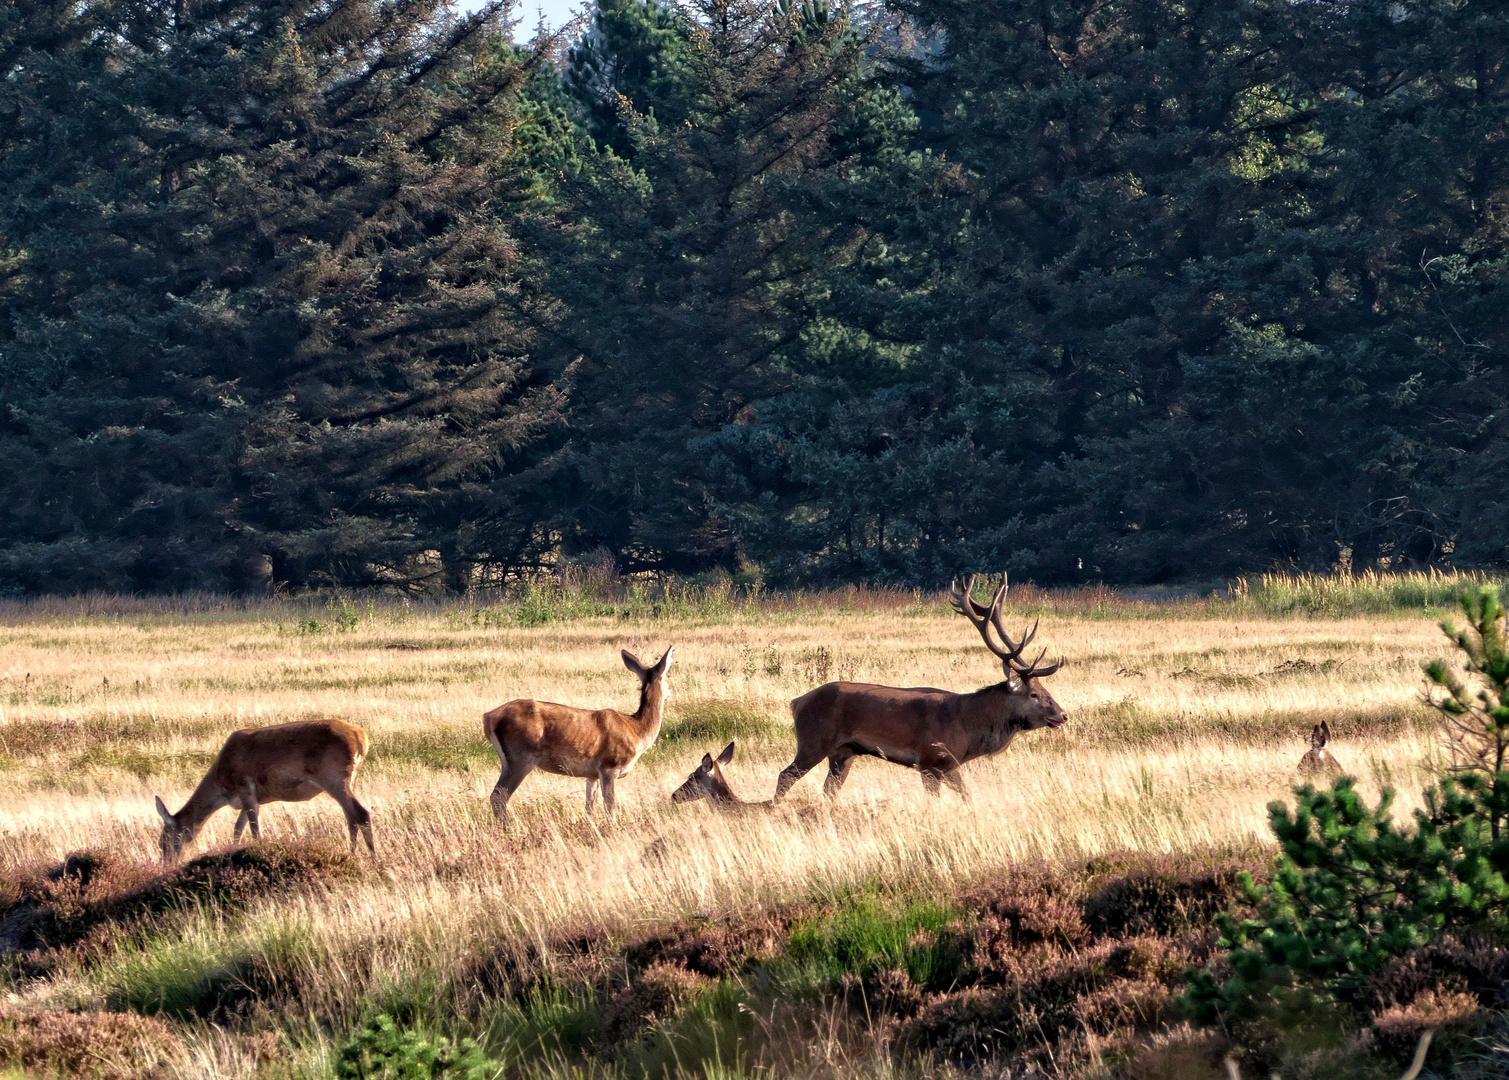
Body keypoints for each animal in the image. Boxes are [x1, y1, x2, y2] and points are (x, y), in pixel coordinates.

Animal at [152, 721, 374, 862]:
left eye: (165, 840)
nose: (167, 863)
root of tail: (361, 737)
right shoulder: (251, 799)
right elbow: (237, 829)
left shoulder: (244, 786)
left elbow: (254, 830)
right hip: (351, 780)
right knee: (350, 817)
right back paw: (352, 854)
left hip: (334, 778)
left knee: (361, 813)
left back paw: (372, 858)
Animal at [482, 645, 673, 820]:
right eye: (668, 676)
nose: (670, 692)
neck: (637, 731)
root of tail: (488, 717)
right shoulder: (609, 766)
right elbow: (610, 807)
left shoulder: (592, 775)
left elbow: (589, 808)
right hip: (521, 756)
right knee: (499, 795)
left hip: (508, 760)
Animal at [772, 573, 1068, 802]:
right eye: (1035, 694)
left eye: (1046, 690)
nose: (1063, 715)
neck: (969, 725)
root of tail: (796, 702)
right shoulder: (930, 759)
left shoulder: (950, 765)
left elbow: (967, 795)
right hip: (813, 740)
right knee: (785, 775)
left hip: (844, 753)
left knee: (829, 789)